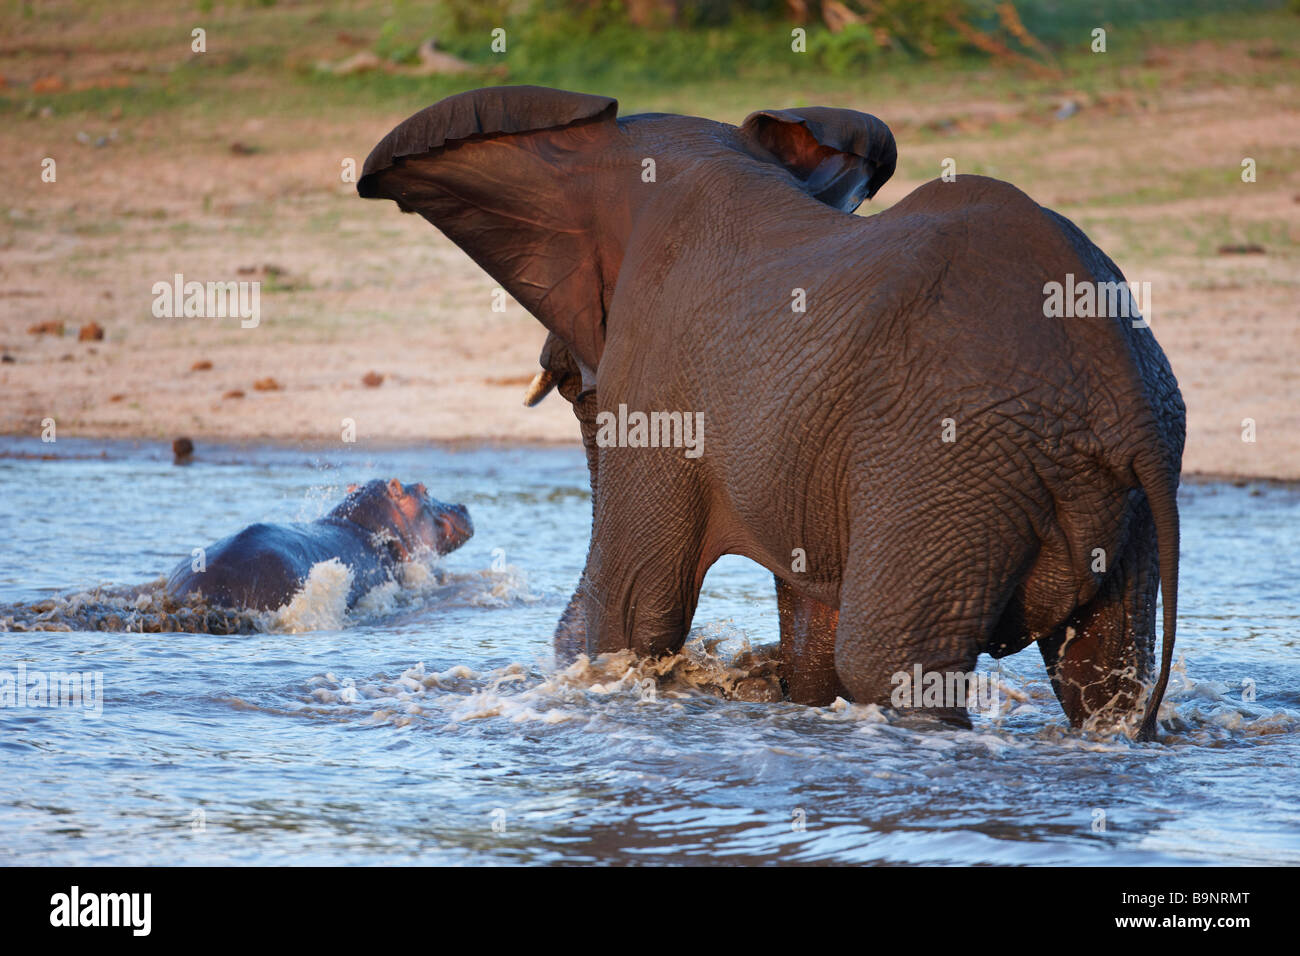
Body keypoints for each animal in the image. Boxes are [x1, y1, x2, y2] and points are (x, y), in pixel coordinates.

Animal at [361, 83, 1185, 738]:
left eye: (572, 392)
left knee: (889, 658)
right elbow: (809, 634)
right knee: (1103, 667)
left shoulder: (660, 382)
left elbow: (632, 608)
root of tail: (1121, 391)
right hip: (1102, 490)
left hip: (951, 462)